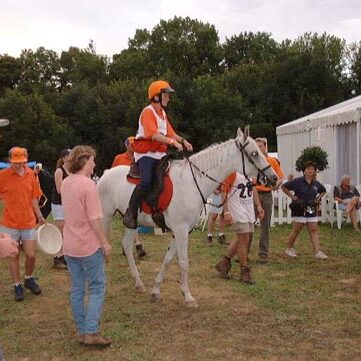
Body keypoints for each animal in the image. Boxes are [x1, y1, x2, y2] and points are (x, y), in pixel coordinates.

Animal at [97, 126, 278, 306]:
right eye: (254, 153)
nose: (274, 178)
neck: (192, 182)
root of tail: (105, 174)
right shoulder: (181, 229)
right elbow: (183, 262)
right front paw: (188, 297)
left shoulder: (181, 230)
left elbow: (169, 259)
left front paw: (156, 291)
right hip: (105, 218)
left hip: (132, 222)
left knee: (127, 246)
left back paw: (139, 283)